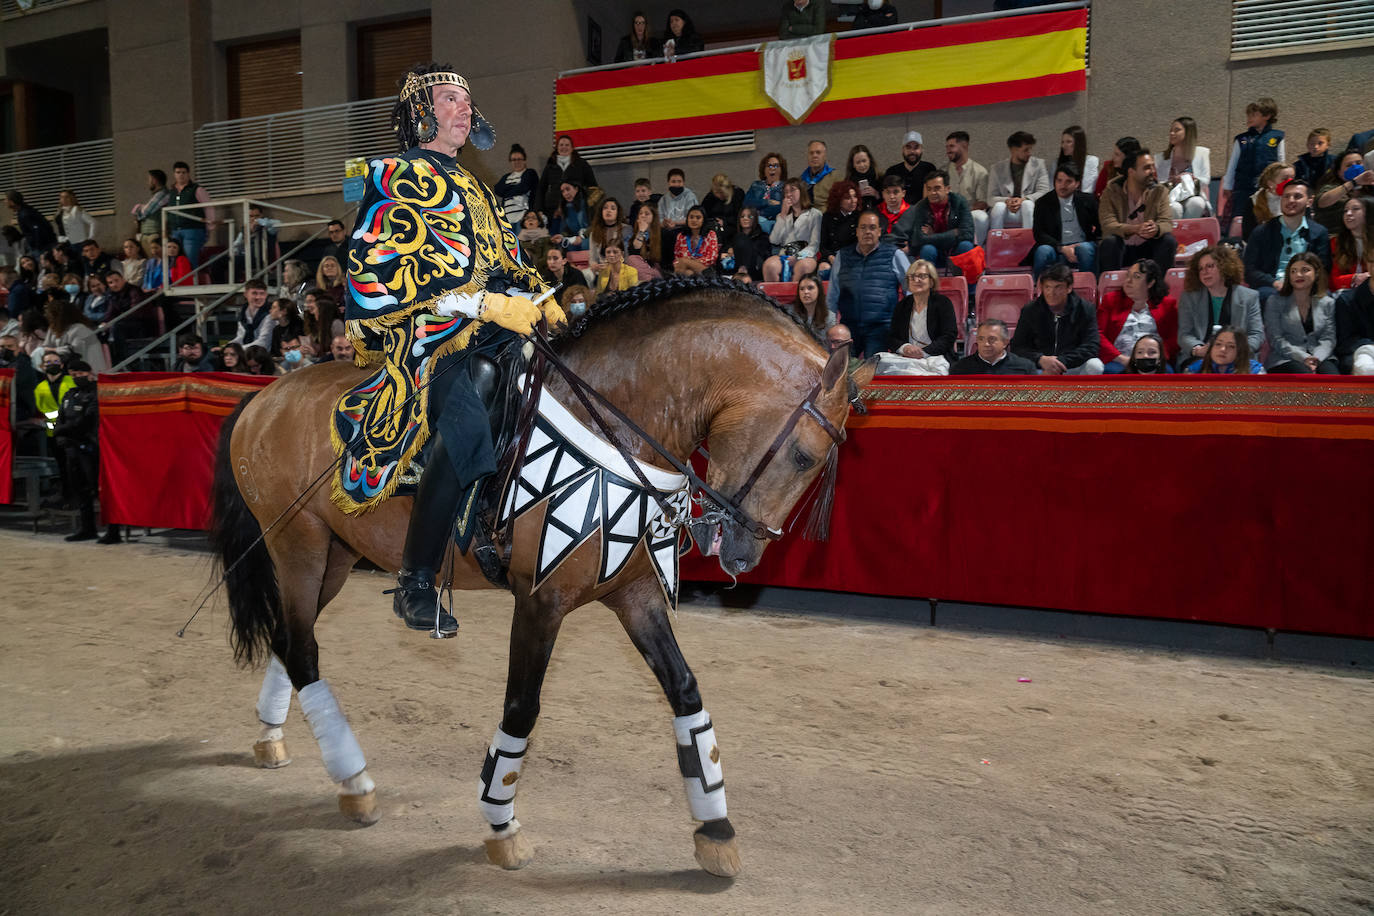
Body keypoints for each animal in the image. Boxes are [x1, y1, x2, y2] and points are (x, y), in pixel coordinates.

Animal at [211, 276, 879, 878]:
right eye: (804, 455)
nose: (744, 554)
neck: (616, 421)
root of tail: (265, 398)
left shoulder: (632, 595)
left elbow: (687, 694)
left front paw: (716, 831)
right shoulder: (540, 600)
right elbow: (522, 708)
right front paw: (500, 823)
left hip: (335, 557)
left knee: (290, 641)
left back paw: (276, 741)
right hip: (298, 548)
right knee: (302, 649)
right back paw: (353, 780)